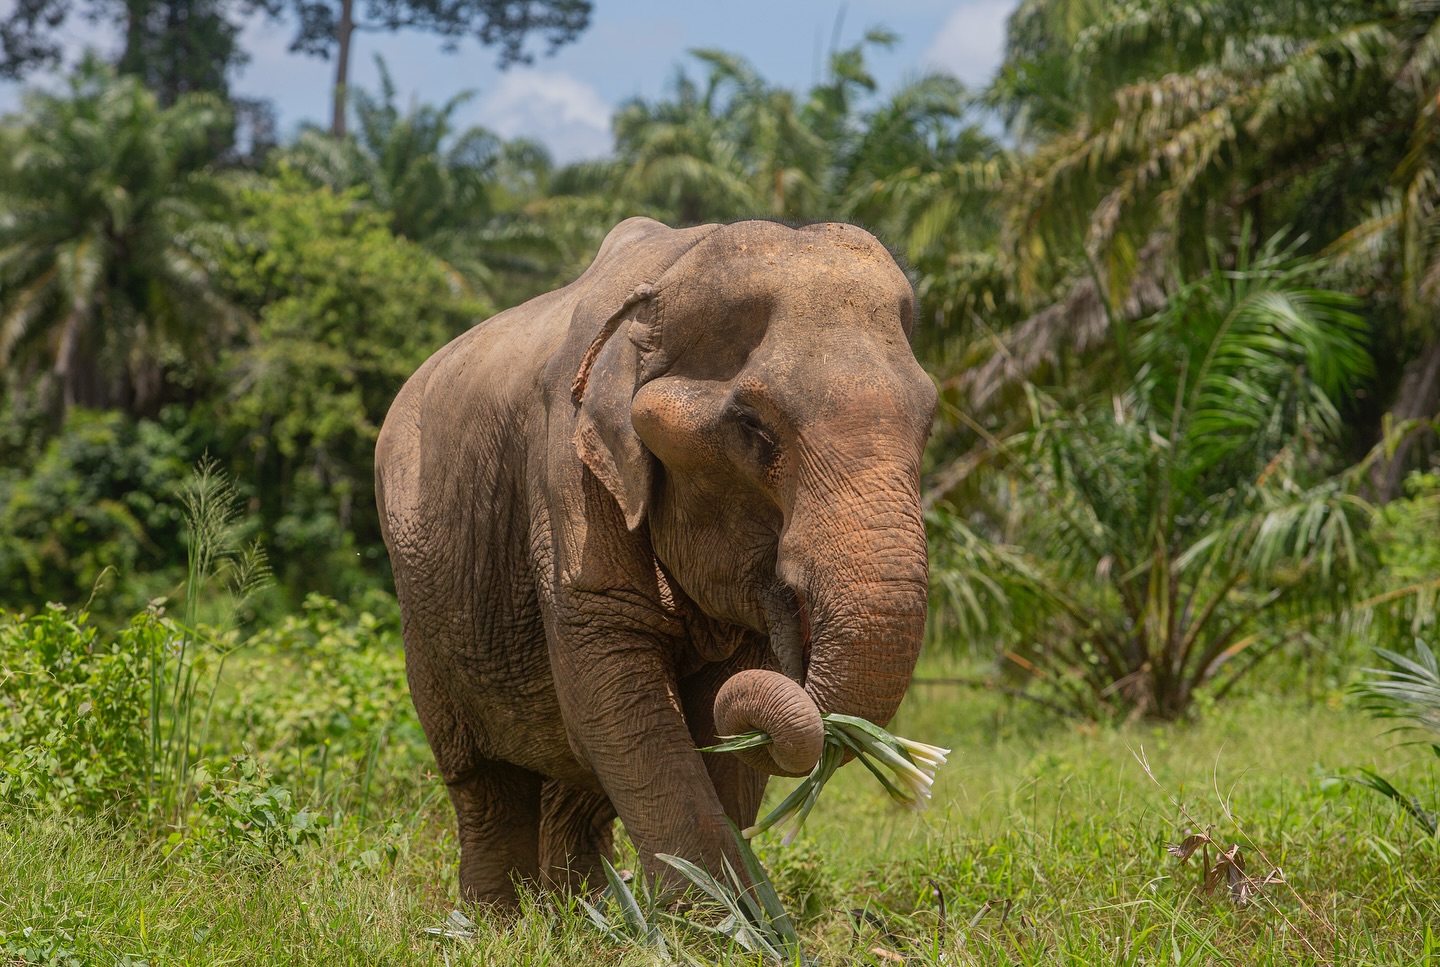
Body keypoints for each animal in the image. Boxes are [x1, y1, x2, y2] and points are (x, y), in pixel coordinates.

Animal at [374, 215, 933, 903]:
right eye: (753, 427)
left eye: (929, 423)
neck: (669, 275)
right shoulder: (567, 474)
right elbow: (614, 699)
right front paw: (713, 923)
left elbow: (718, 726)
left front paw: (739, 915)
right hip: (423, 605)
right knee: (483, 781)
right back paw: (495, 919)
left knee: (575, 788)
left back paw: (575, 912)